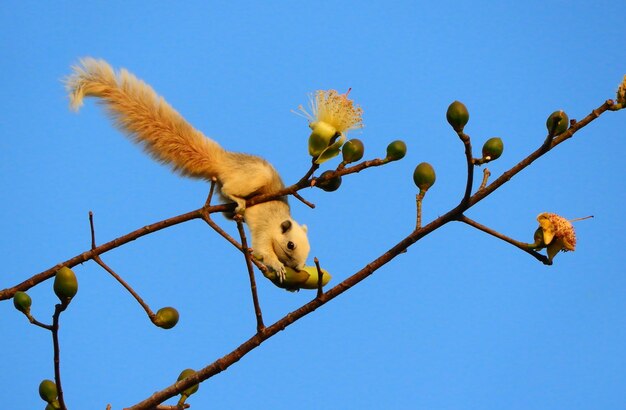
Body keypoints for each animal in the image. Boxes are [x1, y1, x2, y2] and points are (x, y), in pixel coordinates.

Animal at [65, 58, 310, 282]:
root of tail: (222, 160)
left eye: (307, 255)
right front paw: (277, 266)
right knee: (230, 190)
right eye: (290, 245)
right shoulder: (264, 230)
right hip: (253, 177)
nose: (297, 268)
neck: (279, 220)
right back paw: (238, 201)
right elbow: (262, 250)